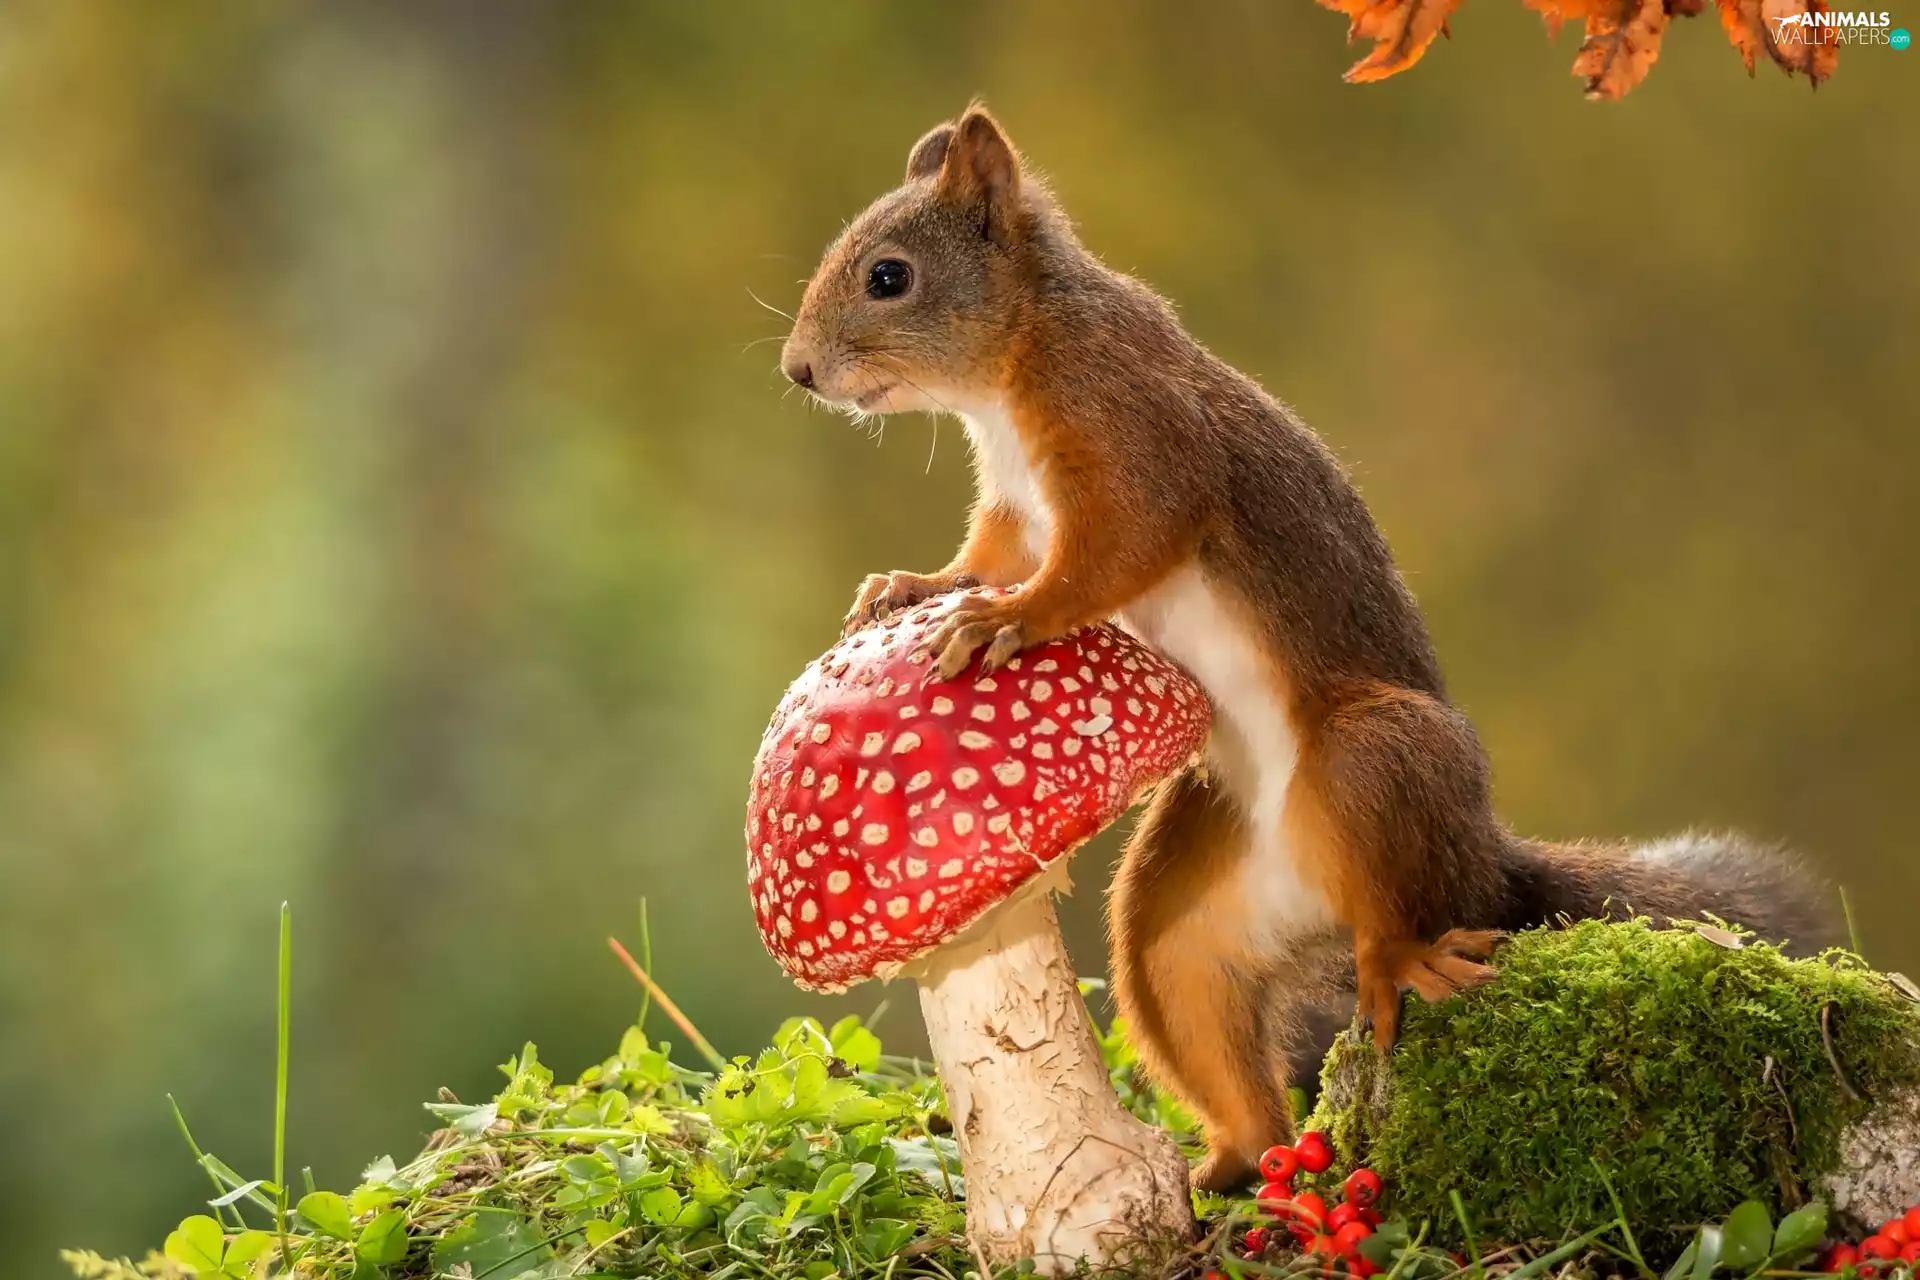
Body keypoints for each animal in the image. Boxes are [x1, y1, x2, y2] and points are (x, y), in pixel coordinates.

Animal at [777, 104, 1841, 1191]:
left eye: (890, 275)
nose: (798, 371)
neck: (1017, 359)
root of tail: (1475, 859)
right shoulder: (1017, 507)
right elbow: (988, 555)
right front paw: (916, 585)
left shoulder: (1135, 434)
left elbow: (1108, 554)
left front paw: (1009, 619)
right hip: (1184, 905)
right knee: (1198, 999)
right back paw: (1225, 1166)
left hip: (1377, 756)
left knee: (1401, 906)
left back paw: (1398, 962)